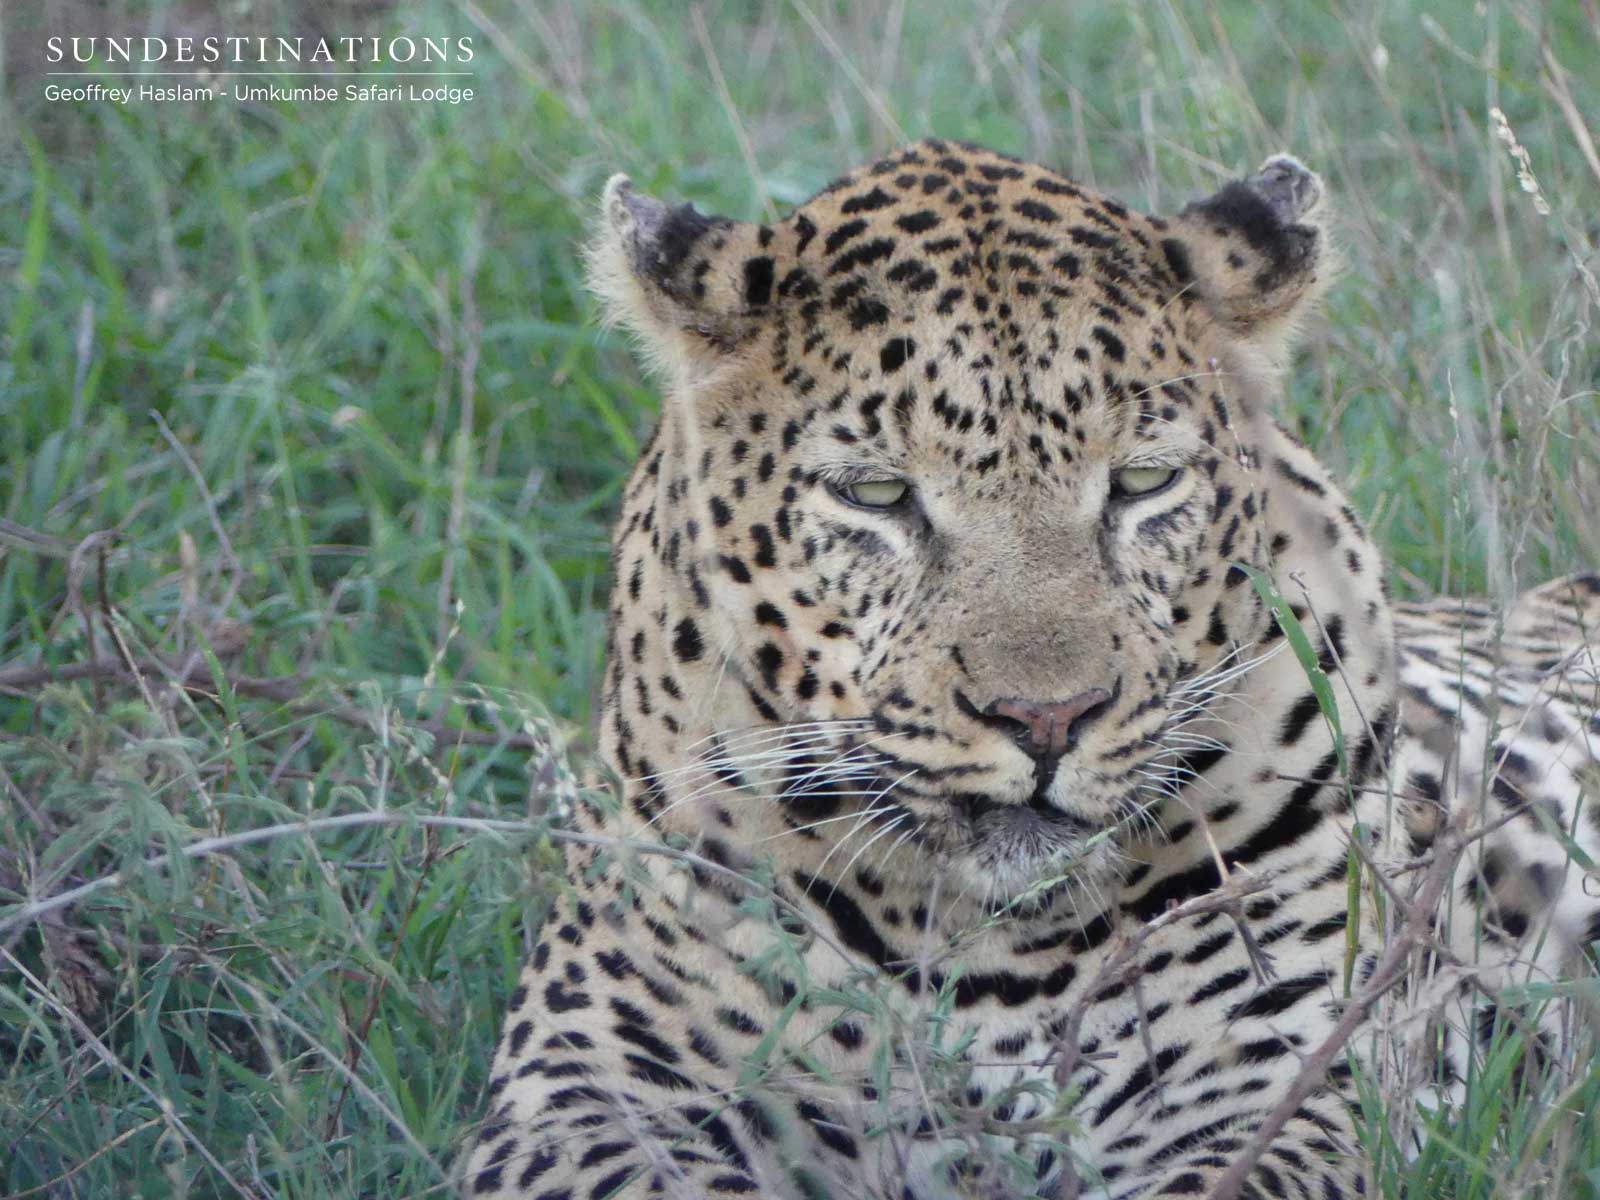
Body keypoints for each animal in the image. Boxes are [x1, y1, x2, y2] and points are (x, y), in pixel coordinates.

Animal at [462, 139, 1600, 1200]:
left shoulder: (1272, 1091)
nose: (1045, 720)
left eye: (1142, 484)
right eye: (876, 495)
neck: (979, 946)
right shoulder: (586, 1080)